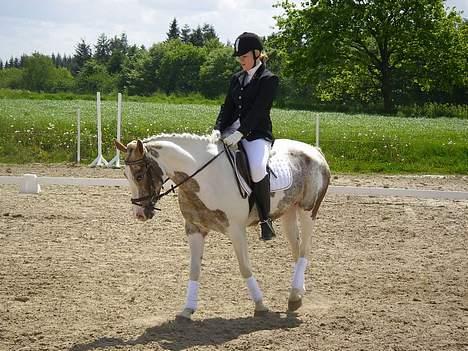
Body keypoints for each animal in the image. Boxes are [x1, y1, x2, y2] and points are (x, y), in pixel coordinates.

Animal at [115, 133, 330, 320]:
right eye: (125, 175)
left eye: (140, 175)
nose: (139, 214)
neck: (204, 179)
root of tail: (314, 150)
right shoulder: (194, 229)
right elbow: (194, 269)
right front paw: (187, 310)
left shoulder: (236, 230)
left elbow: (245, 268)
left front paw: (260, 306)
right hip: (289, 211)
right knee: (296, 250)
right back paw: (297, 294)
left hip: (308, 210)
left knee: (305, 250)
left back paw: (294, 296)